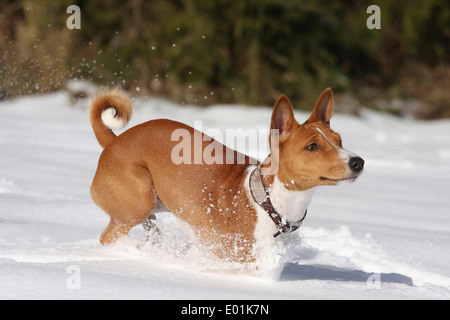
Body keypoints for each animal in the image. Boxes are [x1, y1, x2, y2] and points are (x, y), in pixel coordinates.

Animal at [89, 87, 364, 268]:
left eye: (339, 140)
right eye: (312, 147)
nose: (358, 162)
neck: (269, 203)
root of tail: (114, 141)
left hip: (151, 213)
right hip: (138, 204)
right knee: (106, 239)